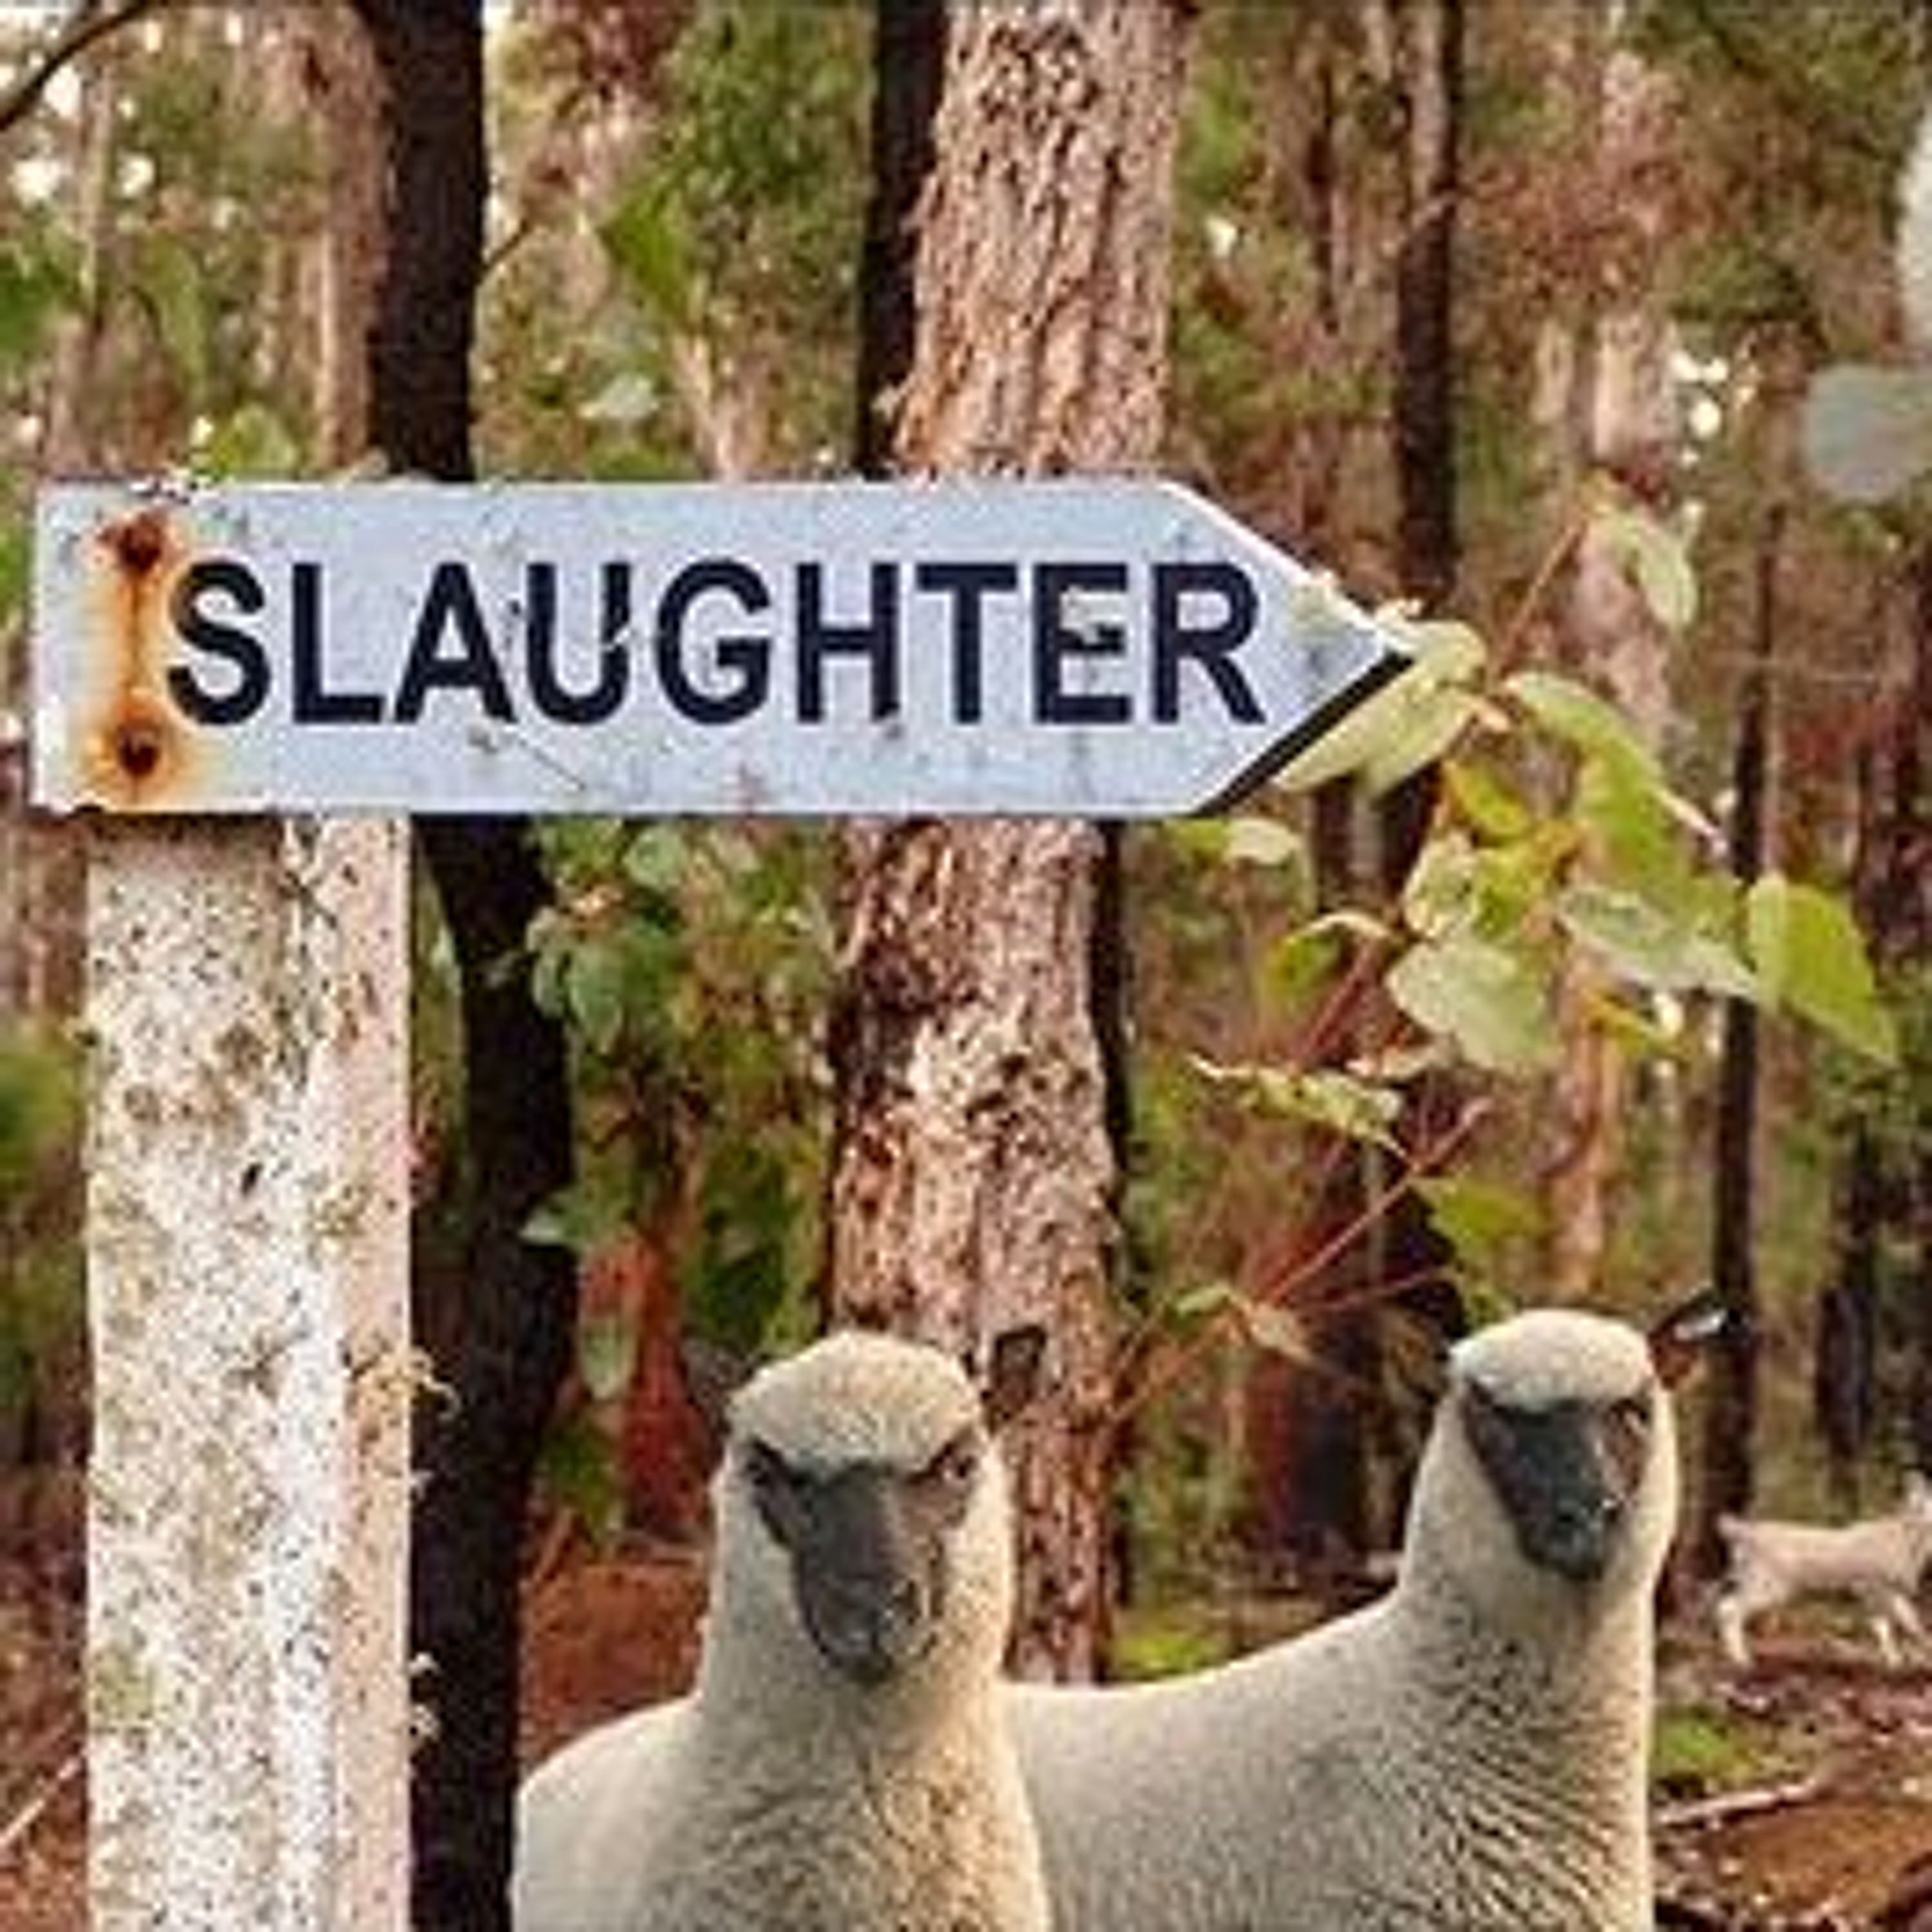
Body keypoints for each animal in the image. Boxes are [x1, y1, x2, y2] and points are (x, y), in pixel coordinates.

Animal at [1715, 1471, 1932, 1669]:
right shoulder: (1872, 1586)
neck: (1907, 1541)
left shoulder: (1886, 1591)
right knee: (1730, 1610)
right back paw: (1742, 1660)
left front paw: (1903, 1660)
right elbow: (1894, 1624)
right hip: (1770, 1583)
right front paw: (1902, 1661)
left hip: (1751, 1578)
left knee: (1724, 1604)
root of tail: (1743, 1533)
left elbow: (1904, 1623)